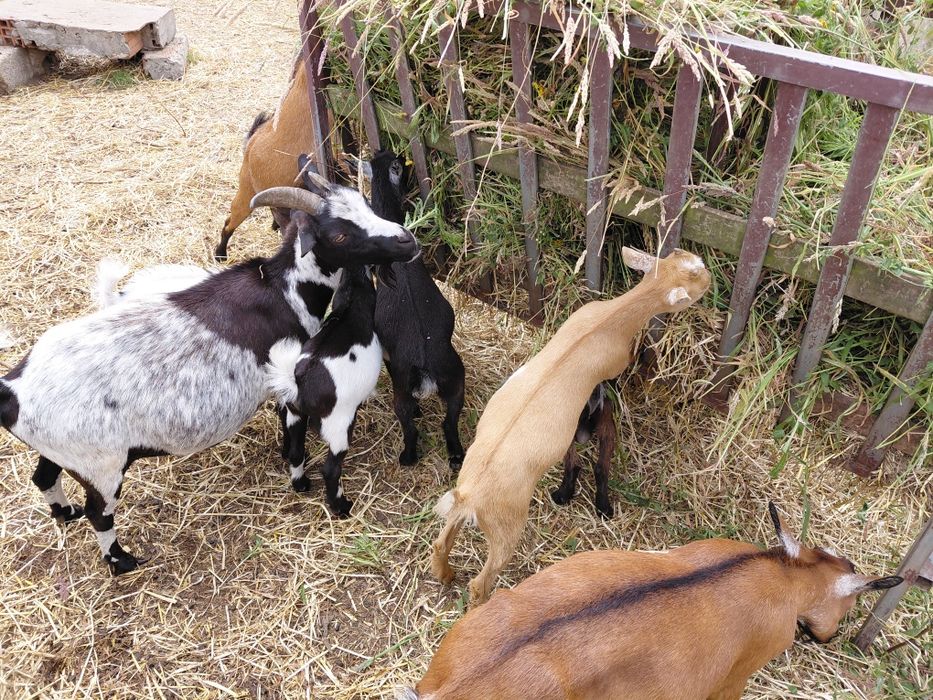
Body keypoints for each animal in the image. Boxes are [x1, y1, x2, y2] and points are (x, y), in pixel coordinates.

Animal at [265, 265, 381, 517]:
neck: (350, 302)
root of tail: (299, 380)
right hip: (339, 427)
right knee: (330, 470)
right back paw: (341, 506)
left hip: (295, 415)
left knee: (296, 452)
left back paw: (300, 484)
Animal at [360, 150, 466, 472]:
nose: (400, 154)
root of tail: (425, 363)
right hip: (455, 378)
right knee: (449, 421)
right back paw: (456, 456)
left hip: (403, 386)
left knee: (409, 422)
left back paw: (407, 457)